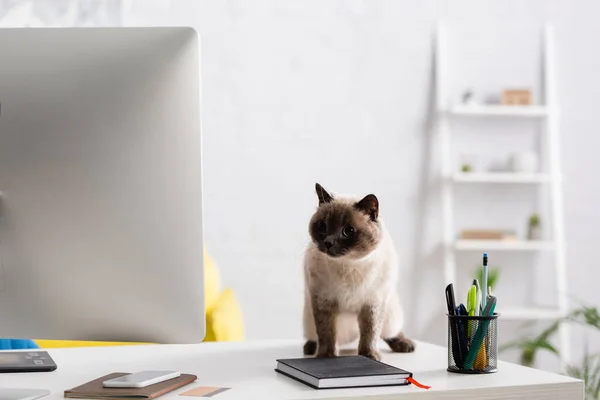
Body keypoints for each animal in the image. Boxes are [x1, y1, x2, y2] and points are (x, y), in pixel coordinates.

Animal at [302, 183, 414, 360]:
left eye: (348, 231)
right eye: (322, 226)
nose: (328, 243)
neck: (349, 265)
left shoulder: (372, 304)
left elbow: (370, 333)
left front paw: (369, 356)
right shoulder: (323, 302)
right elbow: (326, 335)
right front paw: (326, 358)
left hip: (390, 312)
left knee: (389, 332)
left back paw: (405, 345)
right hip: (309, 318)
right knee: (316, 336)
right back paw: (310, 348)